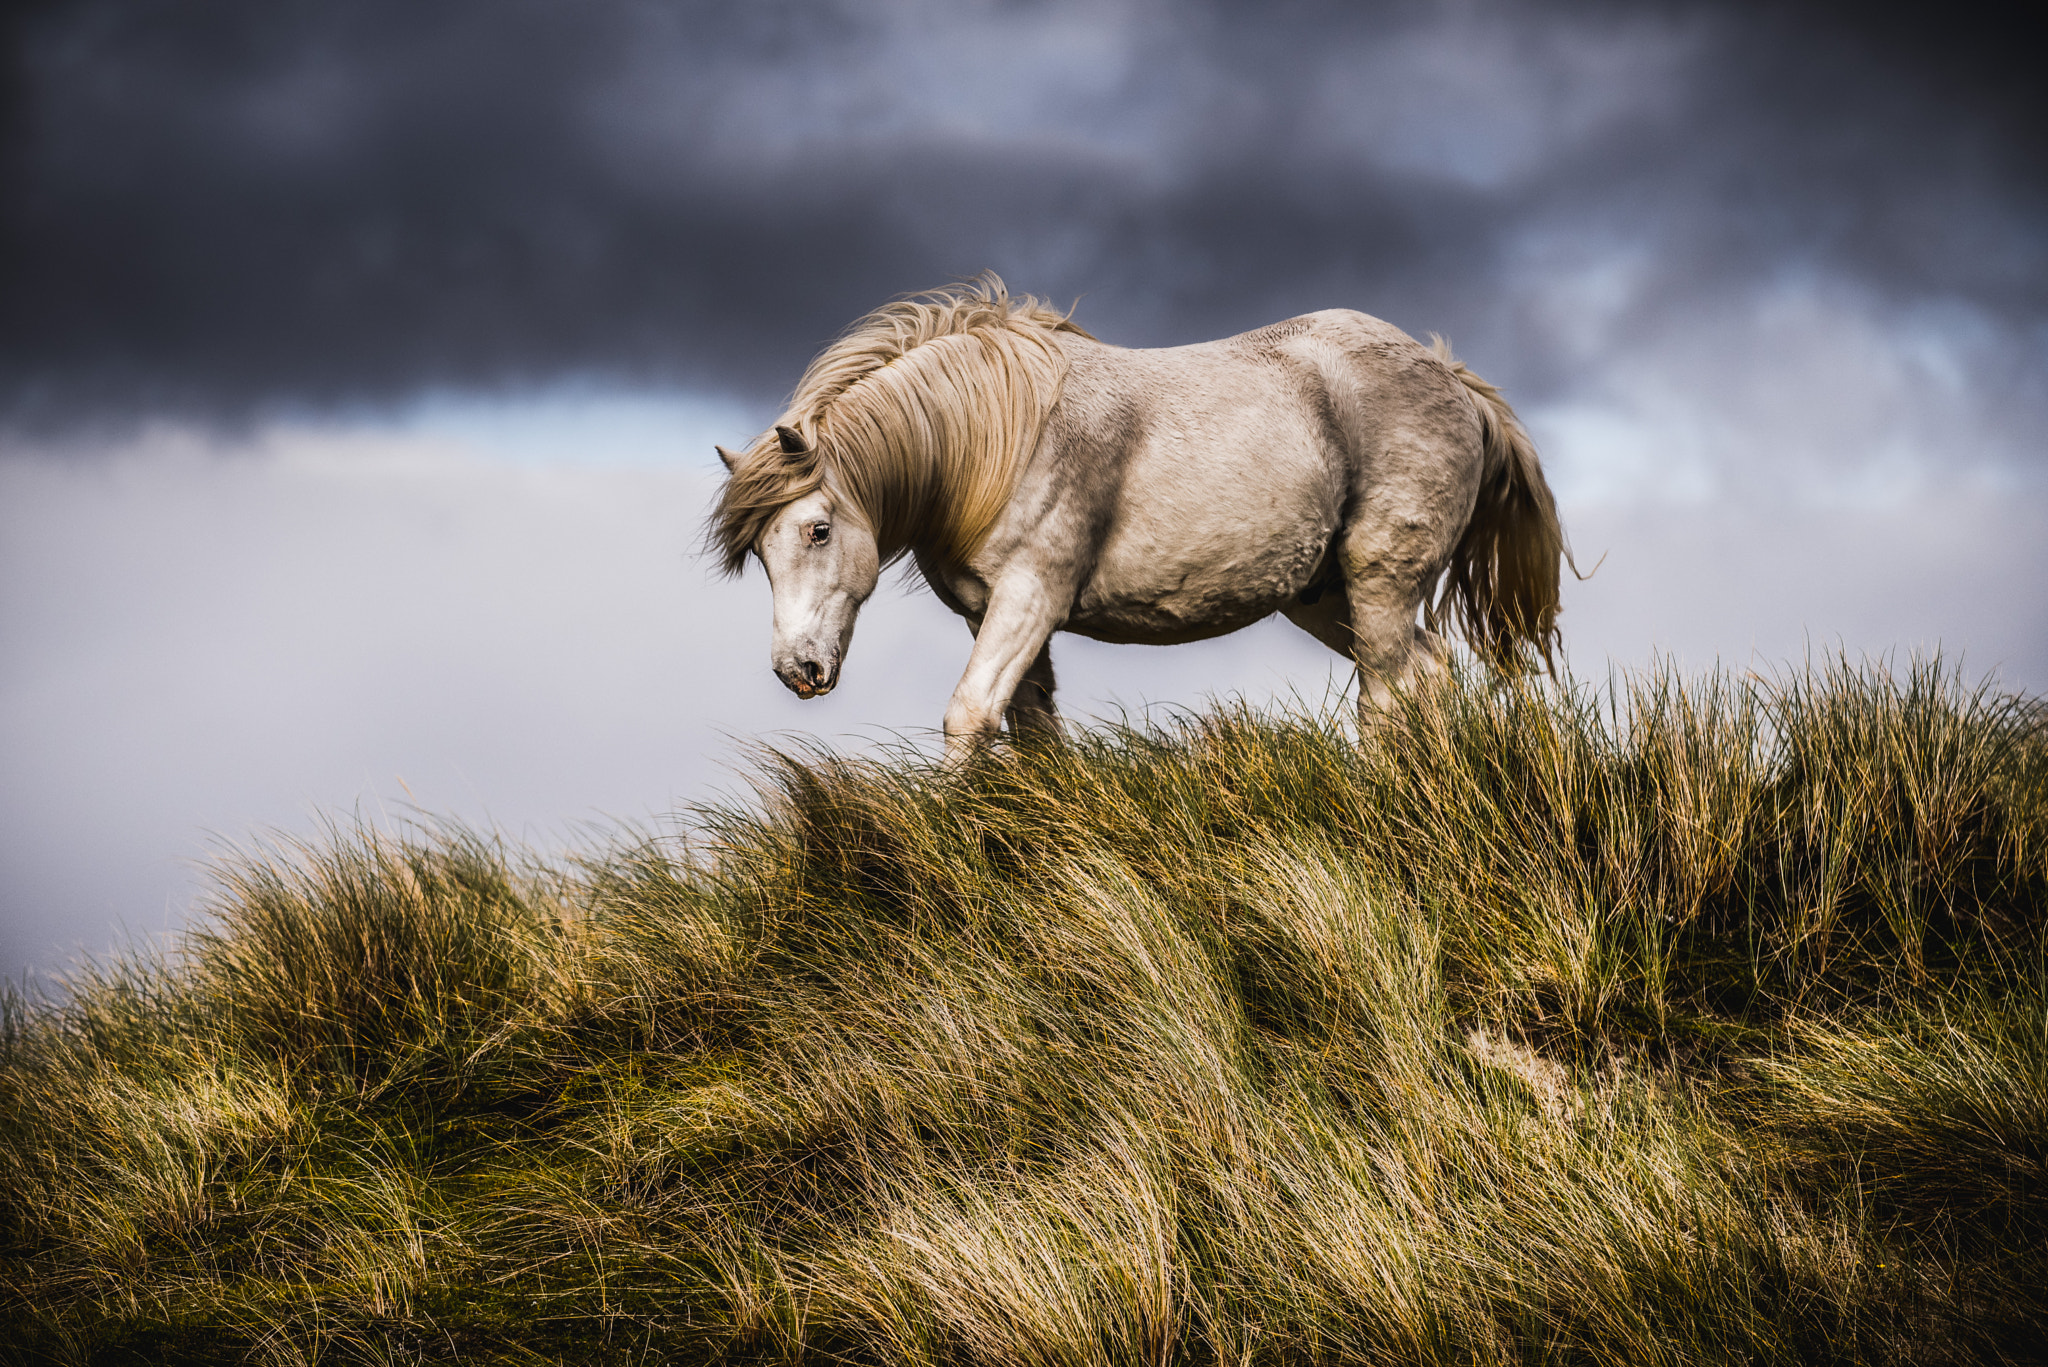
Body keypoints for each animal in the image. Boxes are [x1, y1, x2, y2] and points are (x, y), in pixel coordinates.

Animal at [711, 274, 1567, 766]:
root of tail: (1450, 375)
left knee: (1386, 695)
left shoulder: (1031, 598)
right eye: (760, 554)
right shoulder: (996, 614)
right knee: (1427, 673)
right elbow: (1031, 730)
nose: (797, 670)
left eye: (818, 529)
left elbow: (968, 715)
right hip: (1325, 596)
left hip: (1379, 580)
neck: (999, 438)